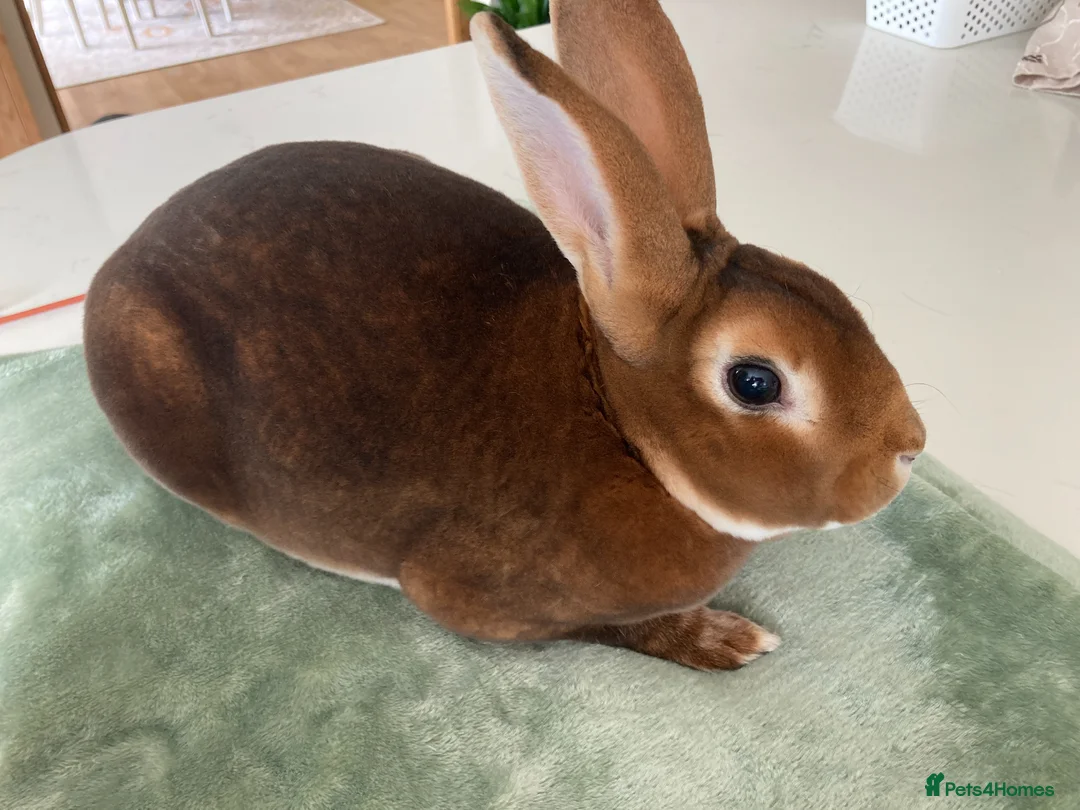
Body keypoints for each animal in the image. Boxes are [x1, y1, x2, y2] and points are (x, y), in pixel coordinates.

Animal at [82, 0, 926, 671]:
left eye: (830, 288)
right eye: (755, 381)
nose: (908, 449)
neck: (621, 428)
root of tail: (123, 254)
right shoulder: (473, 596)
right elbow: (615, 628)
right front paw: (725, 640)